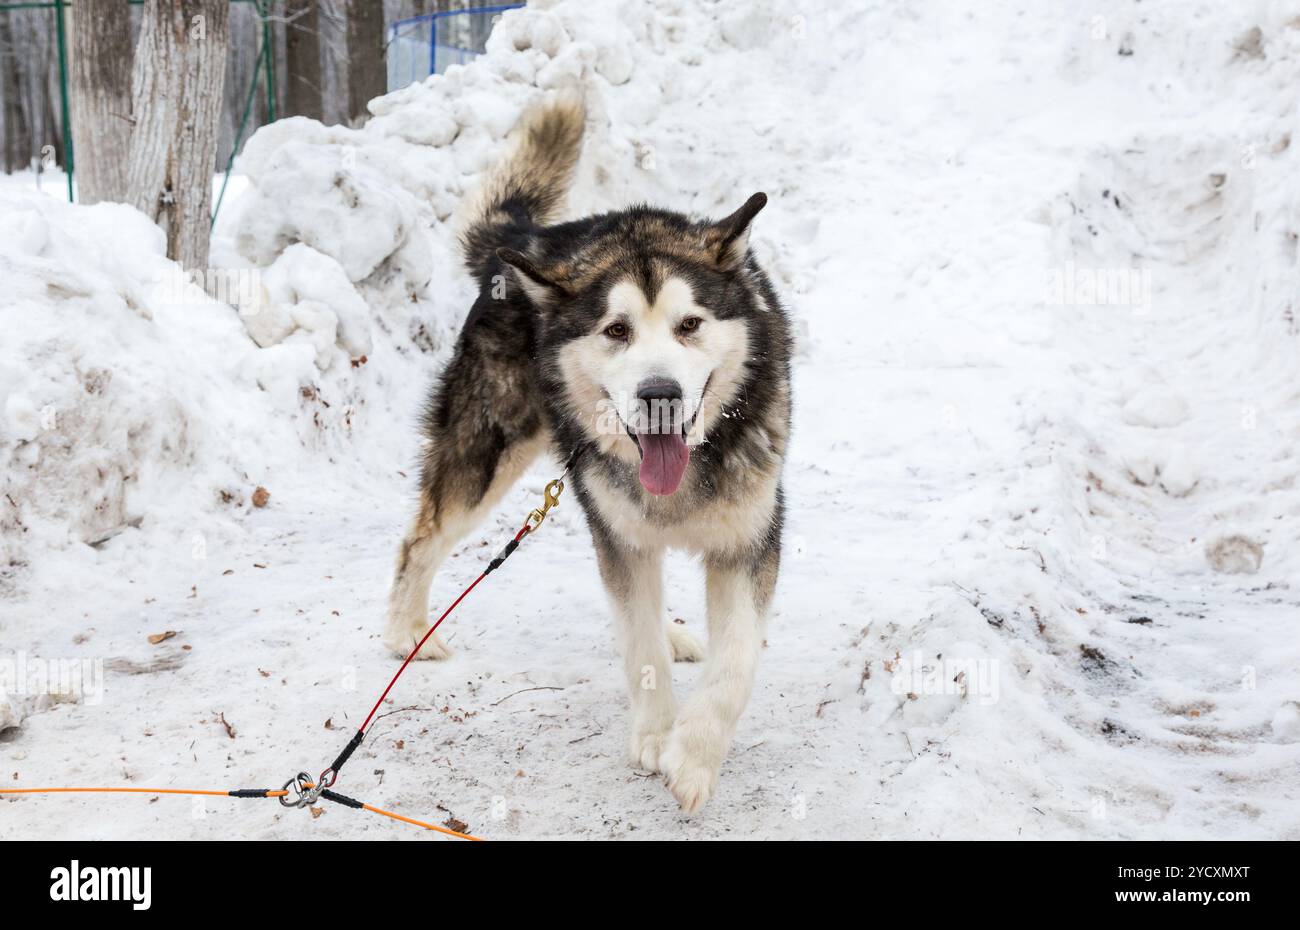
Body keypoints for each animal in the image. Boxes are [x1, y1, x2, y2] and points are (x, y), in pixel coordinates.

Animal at [379, 91, 790, 811]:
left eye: (690, 325)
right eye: (616, 330)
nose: (660, 394)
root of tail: (524, 248)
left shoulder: (749, 538)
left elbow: (736, 661)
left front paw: (694, 756)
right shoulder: (620, 532)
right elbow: (639, 647)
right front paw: (657, 736)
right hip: (491, 453)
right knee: (421, 538)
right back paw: (406, 633)